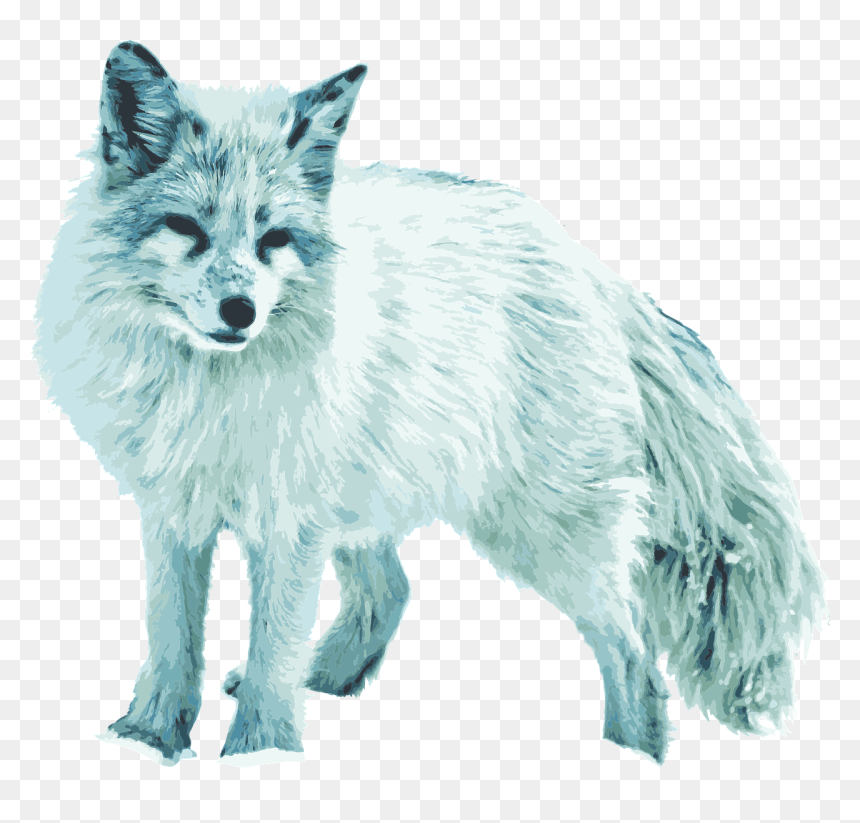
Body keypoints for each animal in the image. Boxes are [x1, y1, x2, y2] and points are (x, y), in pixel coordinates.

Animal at [34, 41, 828, 767]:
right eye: (187, 229)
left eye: (273, 239)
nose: (240, 312)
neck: (210, 393)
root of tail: (586, 264)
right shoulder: (174, 511)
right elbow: (172, 641)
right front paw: (149, 743)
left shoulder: (290, 525)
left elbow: (271, 653)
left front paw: (259, 760)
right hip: (371, 503)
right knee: (391, 592)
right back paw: (331, 681)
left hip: (540, 533)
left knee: (635, 657)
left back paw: (631, 762)